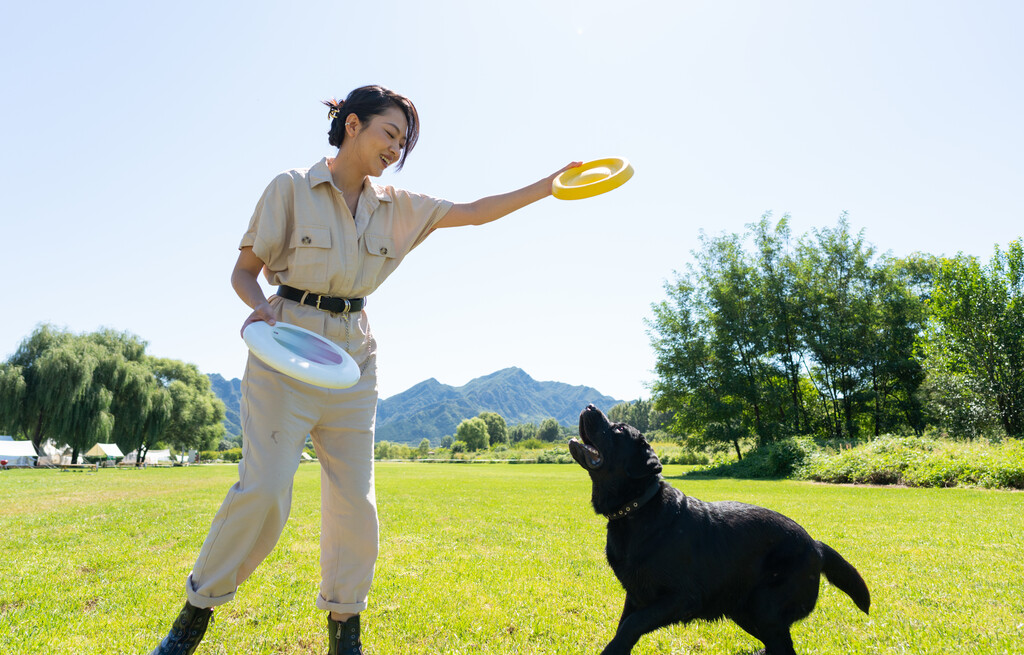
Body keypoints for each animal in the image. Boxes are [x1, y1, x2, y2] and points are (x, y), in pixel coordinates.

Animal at [573, 405, 868, 655]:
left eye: (619, 430)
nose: (589, 406)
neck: (637, 508)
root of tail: (816, 545)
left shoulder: (682, 597)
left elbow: (631, 626)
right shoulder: (635, 595)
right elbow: (624, 626)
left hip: (765, 608)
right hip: (745, 609)